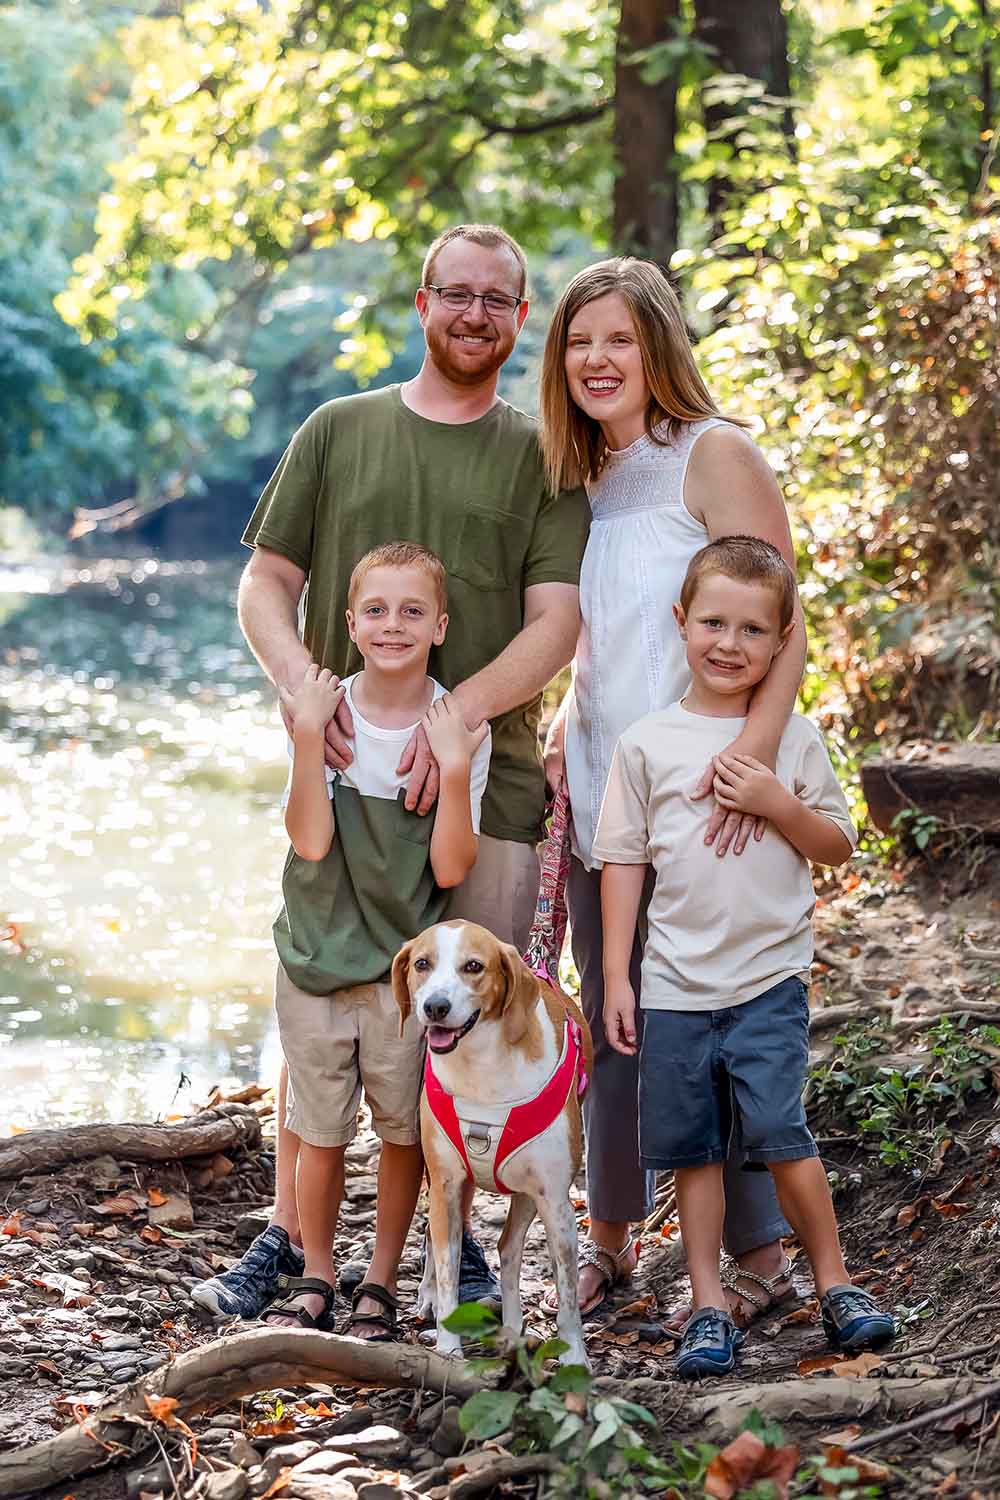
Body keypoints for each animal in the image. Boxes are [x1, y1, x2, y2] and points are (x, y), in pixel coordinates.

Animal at [389, 912, 593, 1374]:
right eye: (422, 964)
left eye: (474, 967)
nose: (435, 1007)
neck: (481, 1067)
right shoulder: (447, 1185)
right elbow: (448, 1267)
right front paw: (448, 1348)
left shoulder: (556, 1201)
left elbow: (568, 1290)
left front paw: (574, 1354)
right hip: (443, 1185)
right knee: (438, 1238)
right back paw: (430, 1298)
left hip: (527, 1194)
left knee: (509, 1247)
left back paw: (513, 1328)